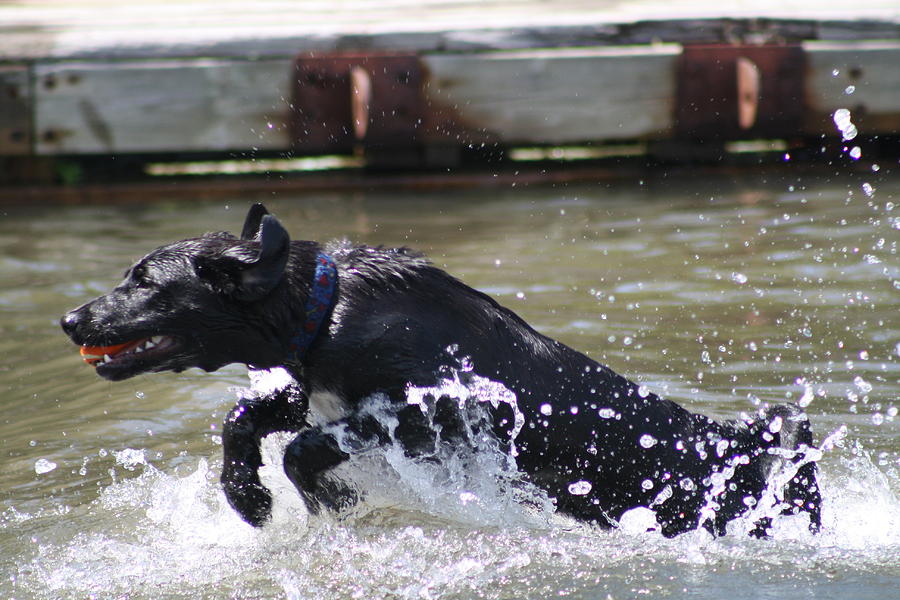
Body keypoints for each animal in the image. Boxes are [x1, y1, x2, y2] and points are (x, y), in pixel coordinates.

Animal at [59, 204, 820, 536]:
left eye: (145, 281)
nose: (69, 320)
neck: (329, 309)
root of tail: (742, 445)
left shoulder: (439, 407)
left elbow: (306, 447)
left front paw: (329, 500)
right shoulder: (312, 390)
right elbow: (244, 419)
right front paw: (248, 498)